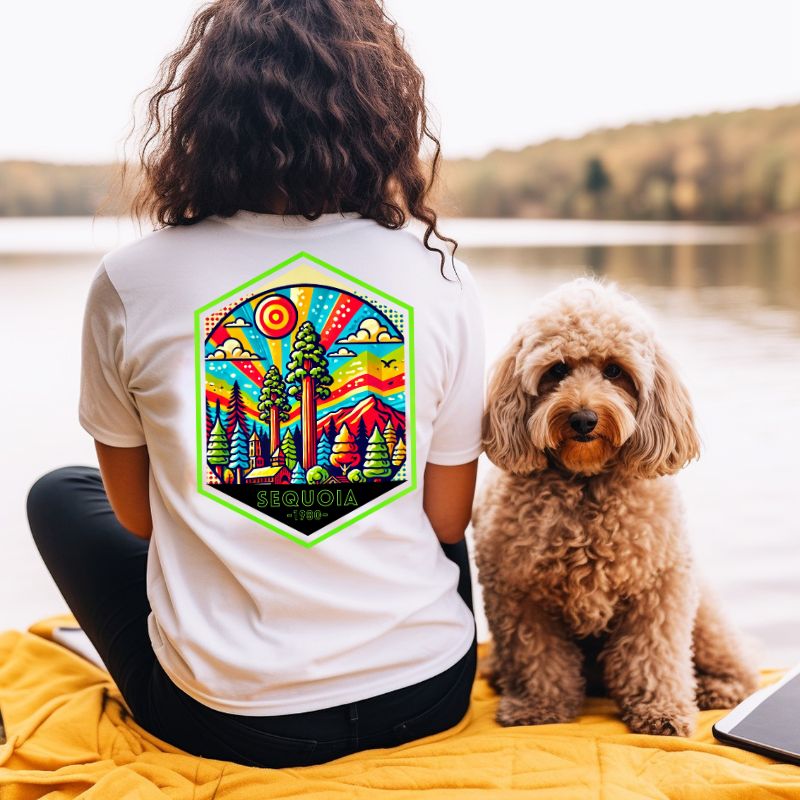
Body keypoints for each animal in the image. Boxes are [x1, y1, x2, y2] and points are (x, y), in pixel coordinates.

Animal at [472, 276, 760, 736]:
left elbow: (653, 654)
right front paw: (539, 706)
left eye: (614, 371)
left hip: (706, 615)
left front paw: (662, 710)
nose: (583, 419)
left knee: (741, 664)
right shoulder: (520, 593)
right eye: (557, 370)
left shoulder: (658, 588)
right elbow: (538, 658)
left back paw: (718, 688)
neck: (586, 482)